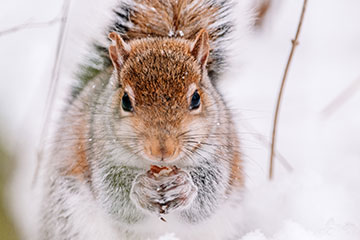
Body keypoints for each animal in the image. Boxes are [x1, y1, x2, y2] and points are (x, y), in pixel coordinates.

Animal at [39, 0, 246, 240]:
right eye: (125, 101)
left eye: (196, 98)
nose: (162, 150)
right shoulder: (99, 151)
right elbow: (115, 199)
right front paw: (141, 188)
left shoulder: (218, 153)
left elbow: (207, 199)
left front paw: (183, 186)